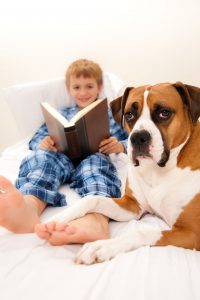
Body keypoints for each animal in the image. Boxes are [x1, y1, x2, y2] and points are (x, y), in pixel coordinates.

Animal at [48, 81, 200, 262]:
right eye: (129, 115)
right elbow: (93, 199)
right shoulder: (133, 205)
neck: (156, 171)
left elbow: (142, 232)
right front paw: (59, 218)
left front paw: (102, 246)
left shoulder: (192, 233)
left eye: (164, 113)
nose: (138, 137)